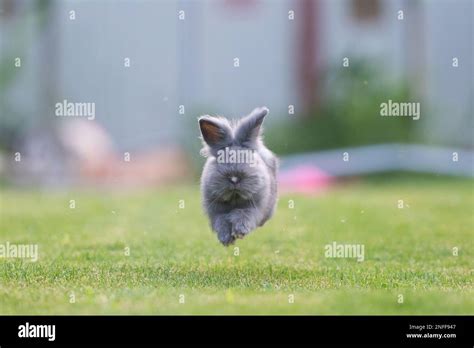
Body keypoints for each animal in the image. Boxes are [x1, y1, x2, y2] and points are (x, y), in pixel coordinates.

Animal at [199, 106, 280, 245]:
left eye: (248, 159)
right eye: (221, 159)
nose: (234, 178)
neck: (234, 197)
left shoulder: (254, 208)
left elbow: (243, 215)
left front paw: (240, 231)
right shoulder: (216, 212)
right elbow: (222, 222)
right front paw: (225, 239)